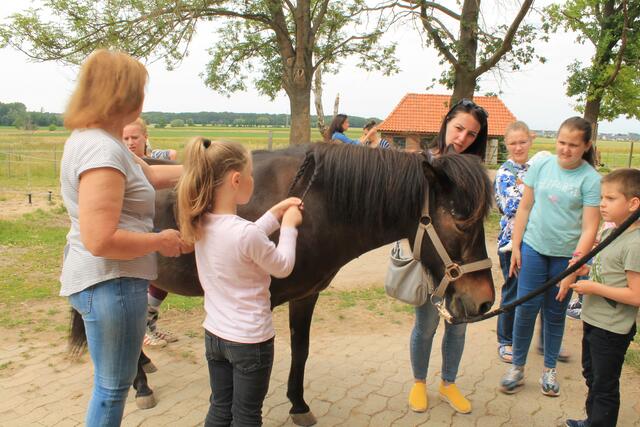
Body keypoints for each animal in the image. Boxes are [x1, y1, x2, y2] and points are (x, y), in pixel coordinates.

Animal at [71, 142, 495, 426]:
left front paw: (298, 404)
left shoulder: (305, 296)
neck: (319, 203)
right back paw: (140, 385)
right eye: (460, 219)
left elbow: (301, 350)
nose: (485, 302)